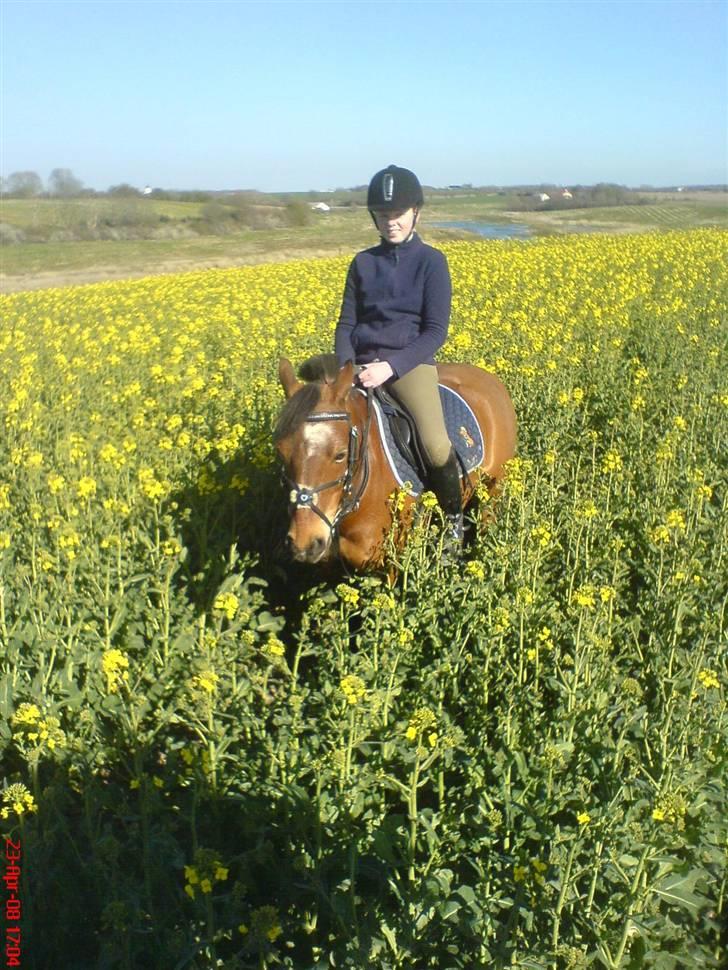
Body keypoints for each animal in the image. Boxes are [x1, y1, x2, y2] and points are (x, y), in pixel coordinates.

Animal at [272, 354, 516, 568]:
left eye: (340, 454)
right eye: (281, 452)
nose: (305, 544)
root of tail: (490, 378)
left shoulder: (393, 556)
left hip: (493, 492)